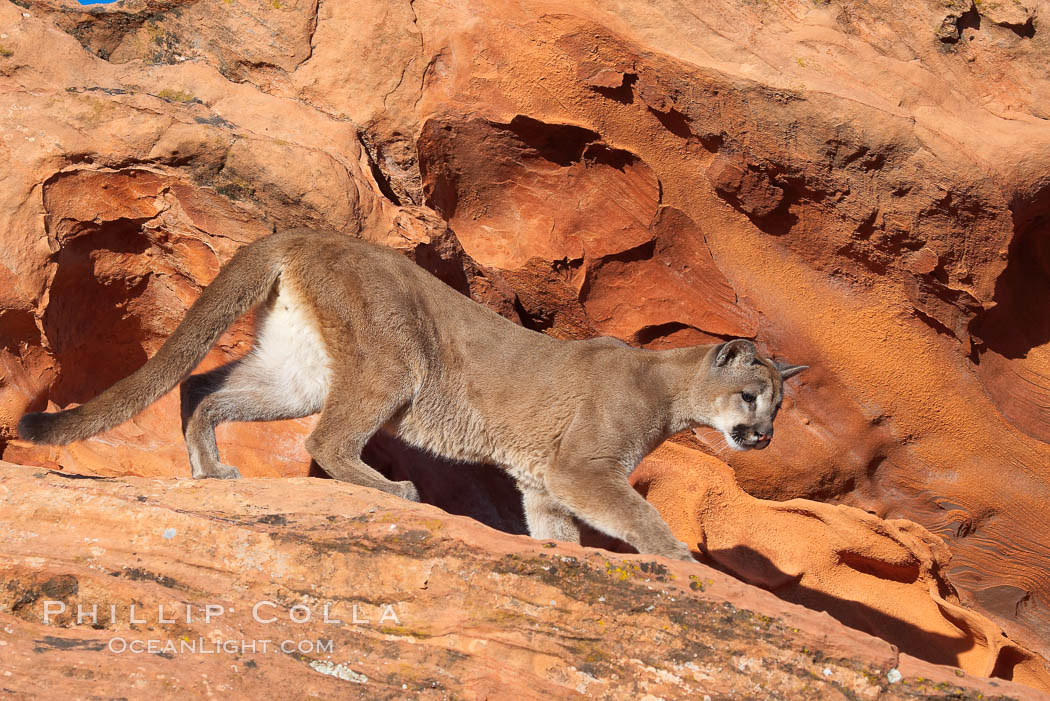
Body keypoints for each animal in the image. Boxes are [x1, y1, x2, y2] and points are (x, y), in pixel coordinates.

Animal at [16, 229, 806, 558]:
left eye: (778, 404)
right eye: (750, 397)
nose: (764, 436)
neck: (669, 386)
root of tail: (299, 233)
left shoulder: (546, 482)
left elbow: (560, 533)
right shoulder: (582, 468)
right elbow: (637, 513)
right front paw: (678, 556)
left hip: (300, 372)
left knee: (208, 387)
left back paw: (209, 470)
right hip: (394, 362)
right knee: (327, 438)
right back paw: (392, 487)